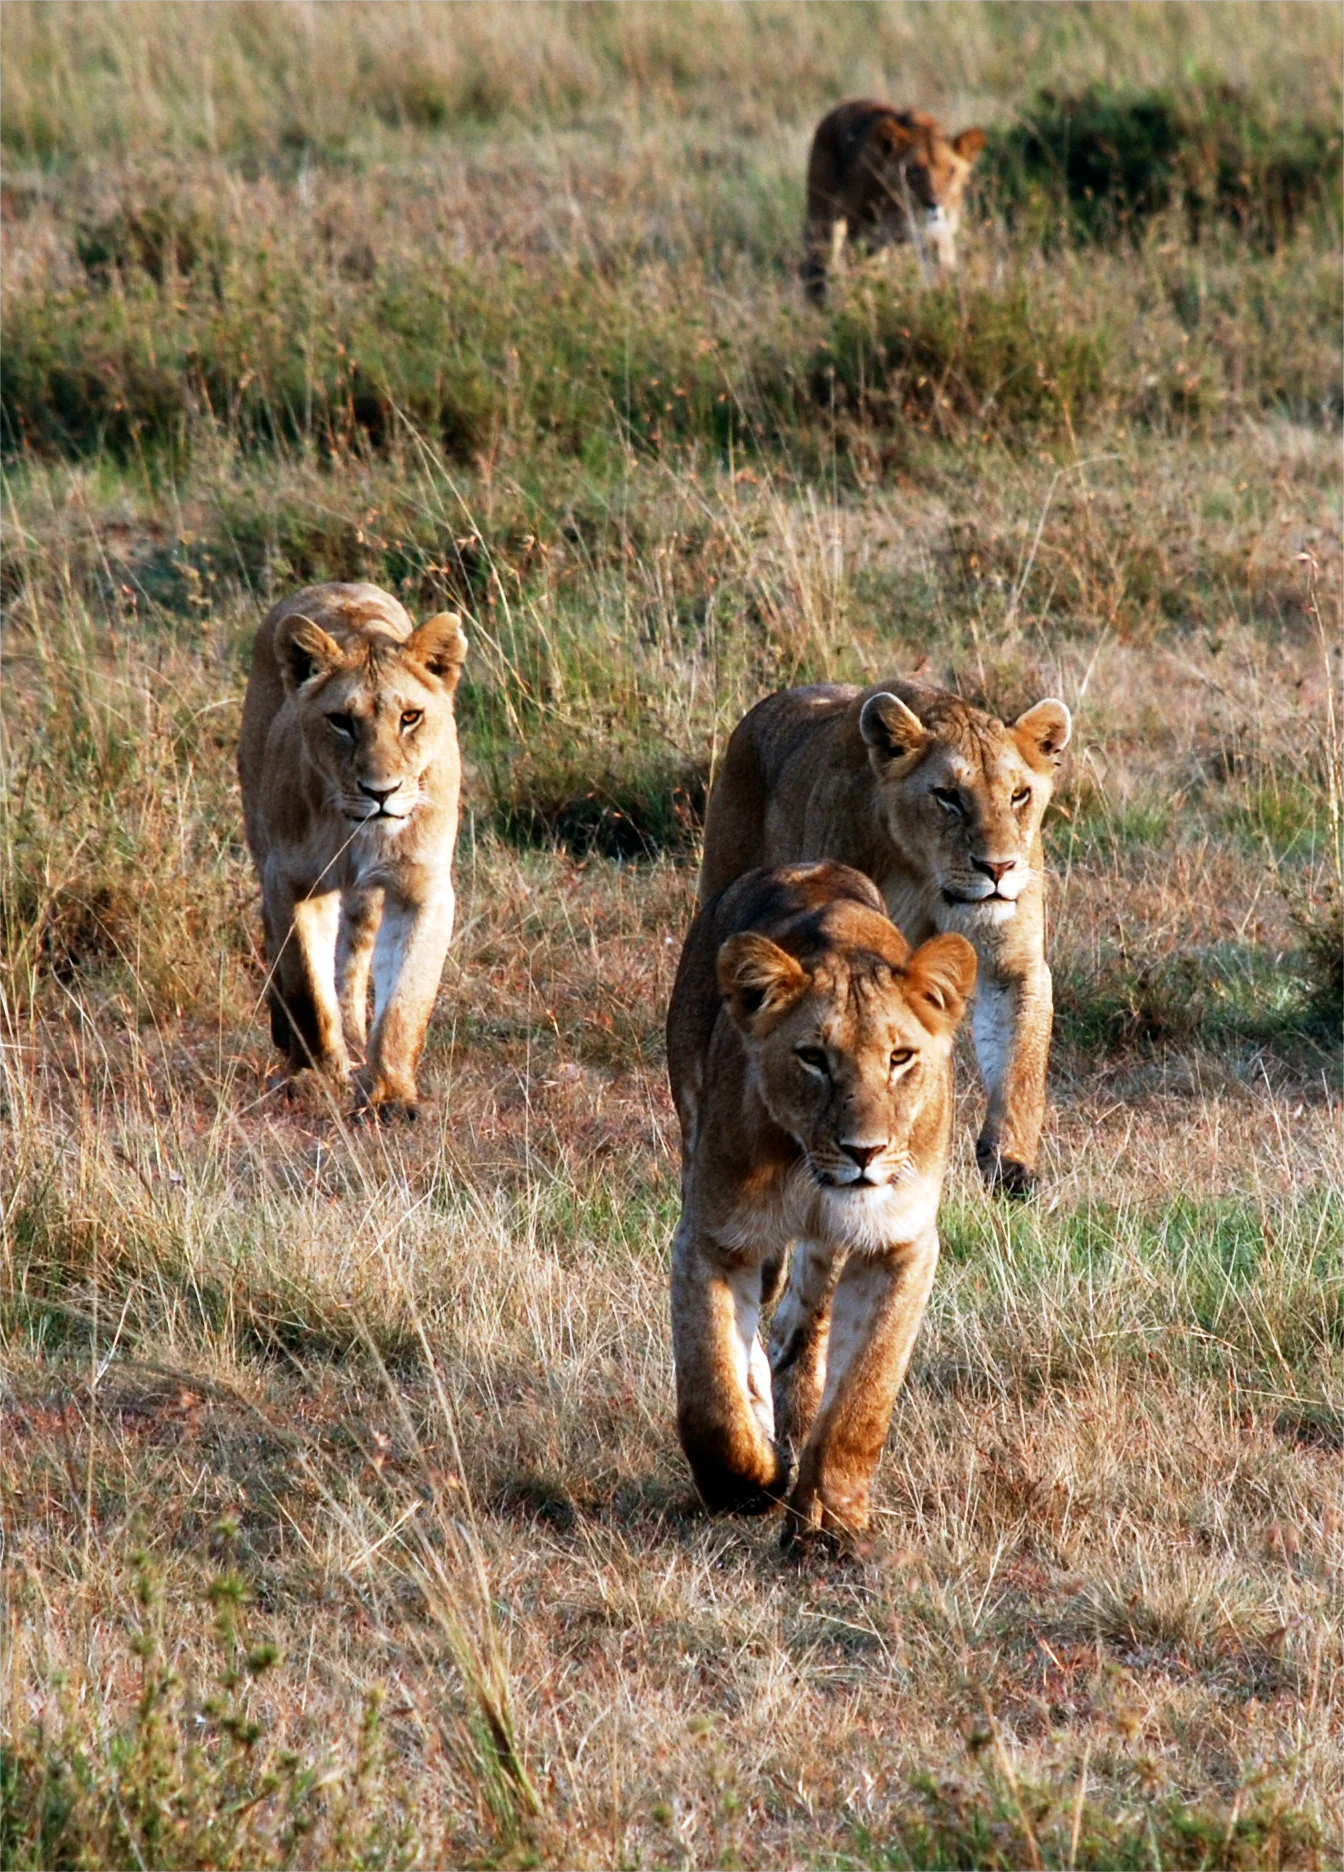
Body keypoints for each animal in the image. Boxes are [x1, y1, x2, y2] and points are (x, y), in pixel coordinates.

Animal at [237, 582, 468, 1119]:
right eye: (341, 721)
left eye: (410, 717)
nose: (381, 792)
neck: (359, 831)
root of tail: (334, 585)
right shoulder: (292, 881)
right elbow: (306, 984)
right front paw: (316, 1078)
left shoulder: (422, 889)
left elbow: (405, 998)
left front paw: (391, 1093)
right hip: (260, 837)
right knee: (277, 942)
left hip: (366, 899)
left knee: (354, 958)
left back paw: (357, 1038)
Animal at [667, 861, 975, 1547]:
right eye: (813, 1058)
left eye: (899, 1057)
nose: (865, 1151)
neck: (809, 1170)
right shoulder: (713, 1236)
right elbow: (709, 1386)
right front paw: (745, 1484)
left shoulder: (899, 1246)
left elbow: (864, 1395)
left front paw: (830, 1522)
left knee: (805, 1326)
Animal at [698, 679, 1071, 1195]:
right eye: (948, 796)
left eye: (1019, 795)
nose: (998, 868)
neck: (926, 873)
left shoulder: (1010, 963)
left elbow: (1020, 1064)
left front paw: (1008, 1164)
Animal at [803, 99, 986, 301]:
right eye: (913, 170)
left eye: (951, 171)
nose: (934, 204)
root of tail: (840, 107)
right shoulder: (862, 235)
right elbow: (863, 276)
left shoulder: (937, 235)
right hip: (823, 221)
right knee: (818, 267)